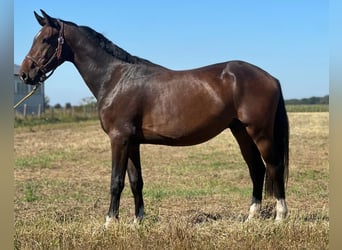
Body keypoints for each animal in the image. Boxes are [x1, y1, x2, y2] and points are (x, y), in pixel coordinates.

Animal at [18, 9, 288, 227]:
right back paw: (251, 216)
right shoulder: (132, 142)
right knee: (256, 168)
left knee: (274, 165)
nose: (24, 74)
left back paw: (280, 216)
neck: (115, 78)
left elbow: (116, 181)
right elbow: (136, 181)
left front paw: (110, 222)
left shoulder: (119, 139)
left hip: (259, 132)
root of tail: (271, 77)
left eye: (45, 39)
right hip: (240, 131)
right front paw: (138, 221)